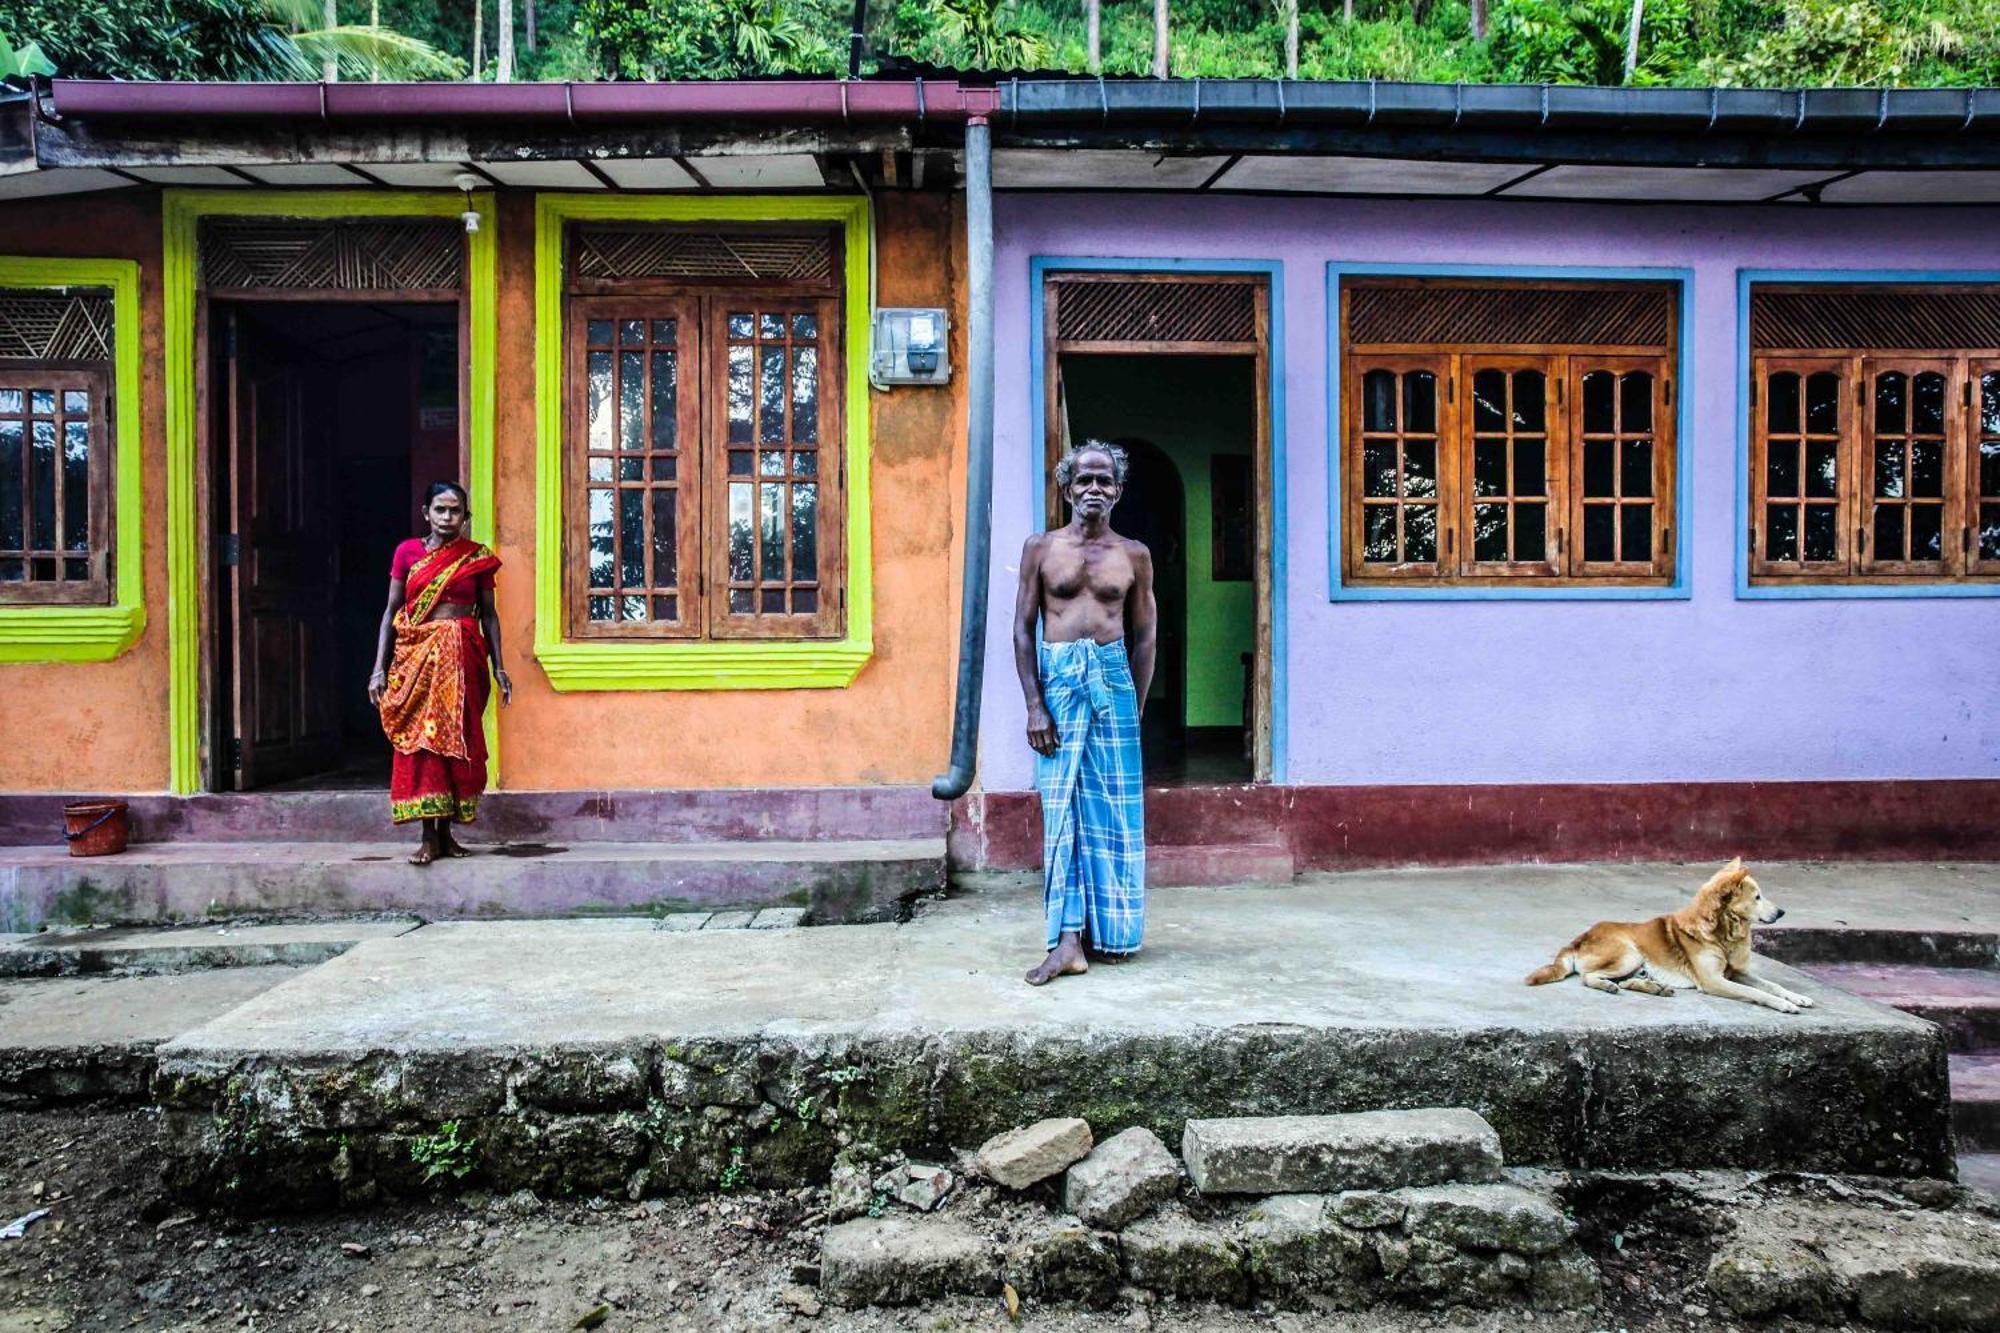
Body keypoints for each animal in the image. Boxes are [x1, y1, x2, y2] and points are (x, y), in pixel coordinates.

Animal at [1520, 856, 1824, 1012]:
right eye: (1758, 897)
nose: (1782, 912)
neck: (1720, 933)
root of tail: (1577, 940)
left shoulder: (1736, 972)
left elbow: (1772, 985)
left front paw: (1796, 997)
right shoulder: (1713, 980)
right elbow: (1755, 992)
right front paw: (1782, 1005)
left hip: (1635, 964)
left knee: (1626, 981)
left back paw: (1656, 988)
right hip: (1629, 954)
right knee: (1589, 977)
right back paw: (1610, 986)